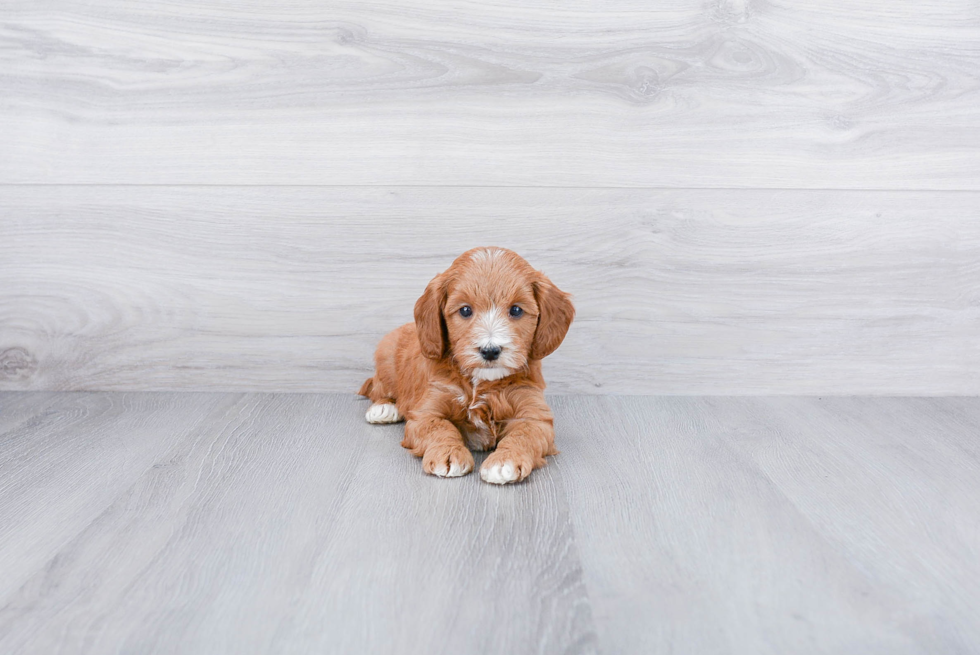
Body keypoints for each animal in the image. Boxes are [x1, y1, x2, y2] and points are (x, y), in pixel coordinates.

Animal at [358, 249, 576, 484]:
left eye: (516, 310)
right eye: (465, 310)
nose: (490, 350)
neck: (481, 382)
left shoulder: (534, 414)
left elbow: (524, 433)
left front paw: (504, 461)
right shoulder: (428, 409)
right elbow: (439, 427)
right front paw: (447, 454)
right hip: (386, 356)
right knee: (377, 388)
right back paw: (384, 408)